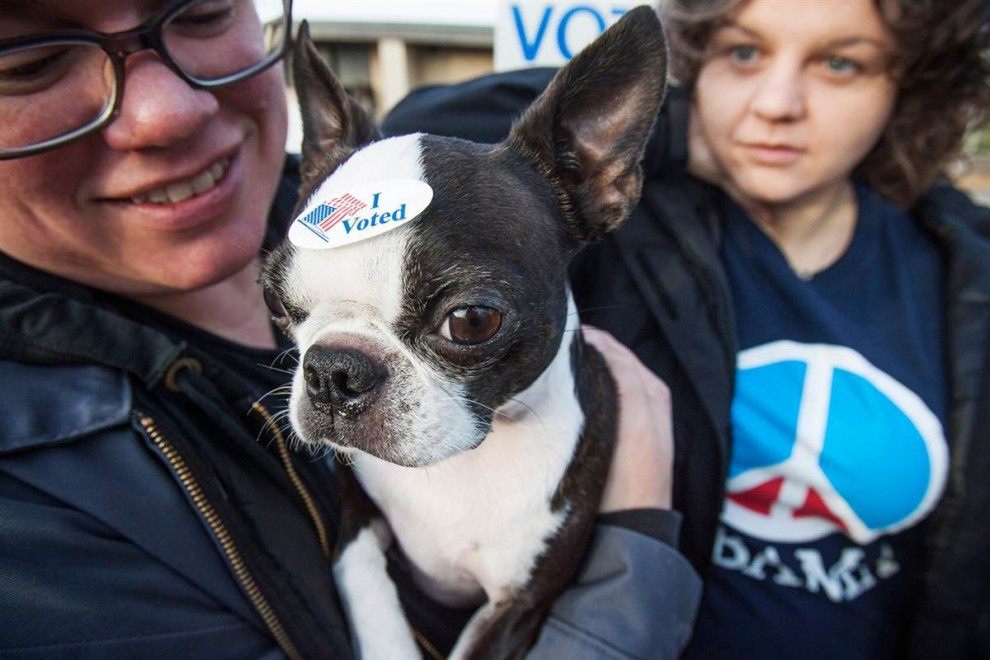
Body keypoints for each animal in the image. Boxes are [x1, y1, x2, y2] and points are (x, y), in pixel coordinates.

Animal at [262, 7, 668, 656]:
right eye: (276, 301)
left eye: (472, 321)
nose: (333, 369)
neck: (463, 463)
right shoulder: (355, 522)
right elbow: (369, 590)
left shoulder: (516, 606)